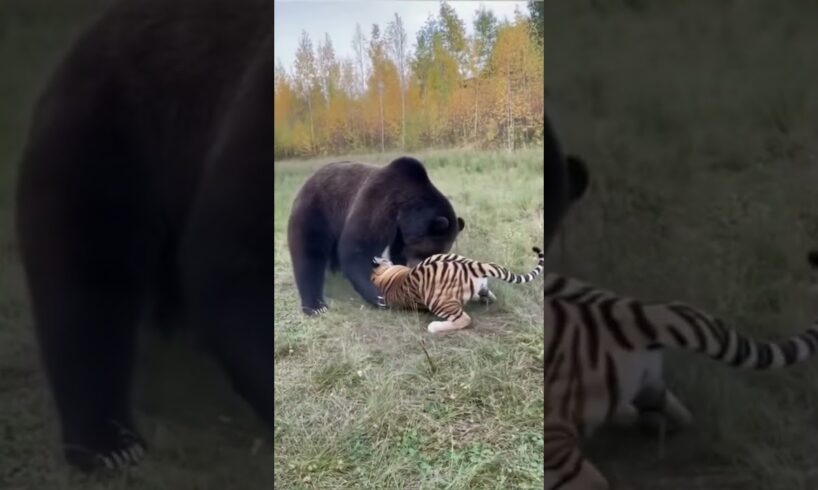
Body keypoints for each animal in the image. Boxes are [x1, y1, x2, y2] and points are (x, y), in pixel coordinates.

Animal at [287, 157, 465, 315]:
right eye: (429, 251)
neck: (406, 210)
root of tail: (307, 181)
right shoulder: (381, 203)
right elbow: (357, 248)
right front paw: (378, 295)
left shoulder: (400, 231)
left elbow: (398, 252)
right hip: (317, 211)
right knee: (309, 255)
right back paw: (315, 305)